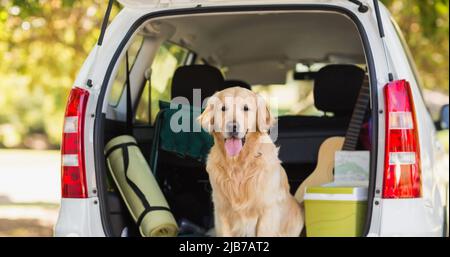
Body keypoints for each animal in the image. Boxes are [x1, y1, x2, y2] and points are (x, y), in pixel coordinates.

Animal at [197, 86, 302, 236]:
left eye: (246, 108)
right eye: (223, 108)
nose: (232, 126)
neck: (238, 164)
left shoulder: (267, 212)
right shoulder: (221, 212)